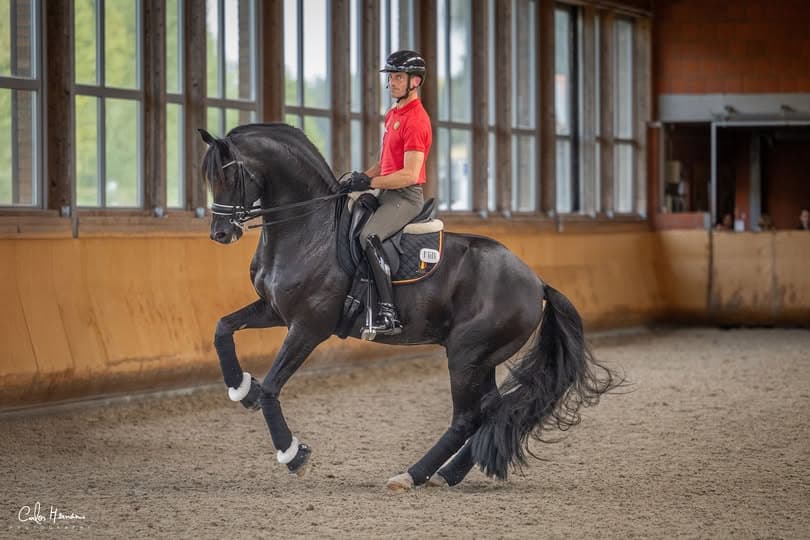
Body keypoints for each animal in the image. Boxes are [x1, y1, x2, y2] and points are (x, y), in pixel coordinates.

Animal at [198, 123, 619, 491]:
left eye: (229, 176)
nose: (220, 233)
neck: (308, 230)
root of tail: (535, 281)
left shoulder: (308, 327)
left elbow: (271, 388)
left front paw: (293, 454)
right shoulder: (274, 310)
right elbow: (222, 328)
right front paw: (240, 388)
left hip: (466, 354)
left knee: (468, 416)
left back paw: (412, 475)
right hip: (481, 358)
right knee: (491, 408)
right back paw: (446, 475)